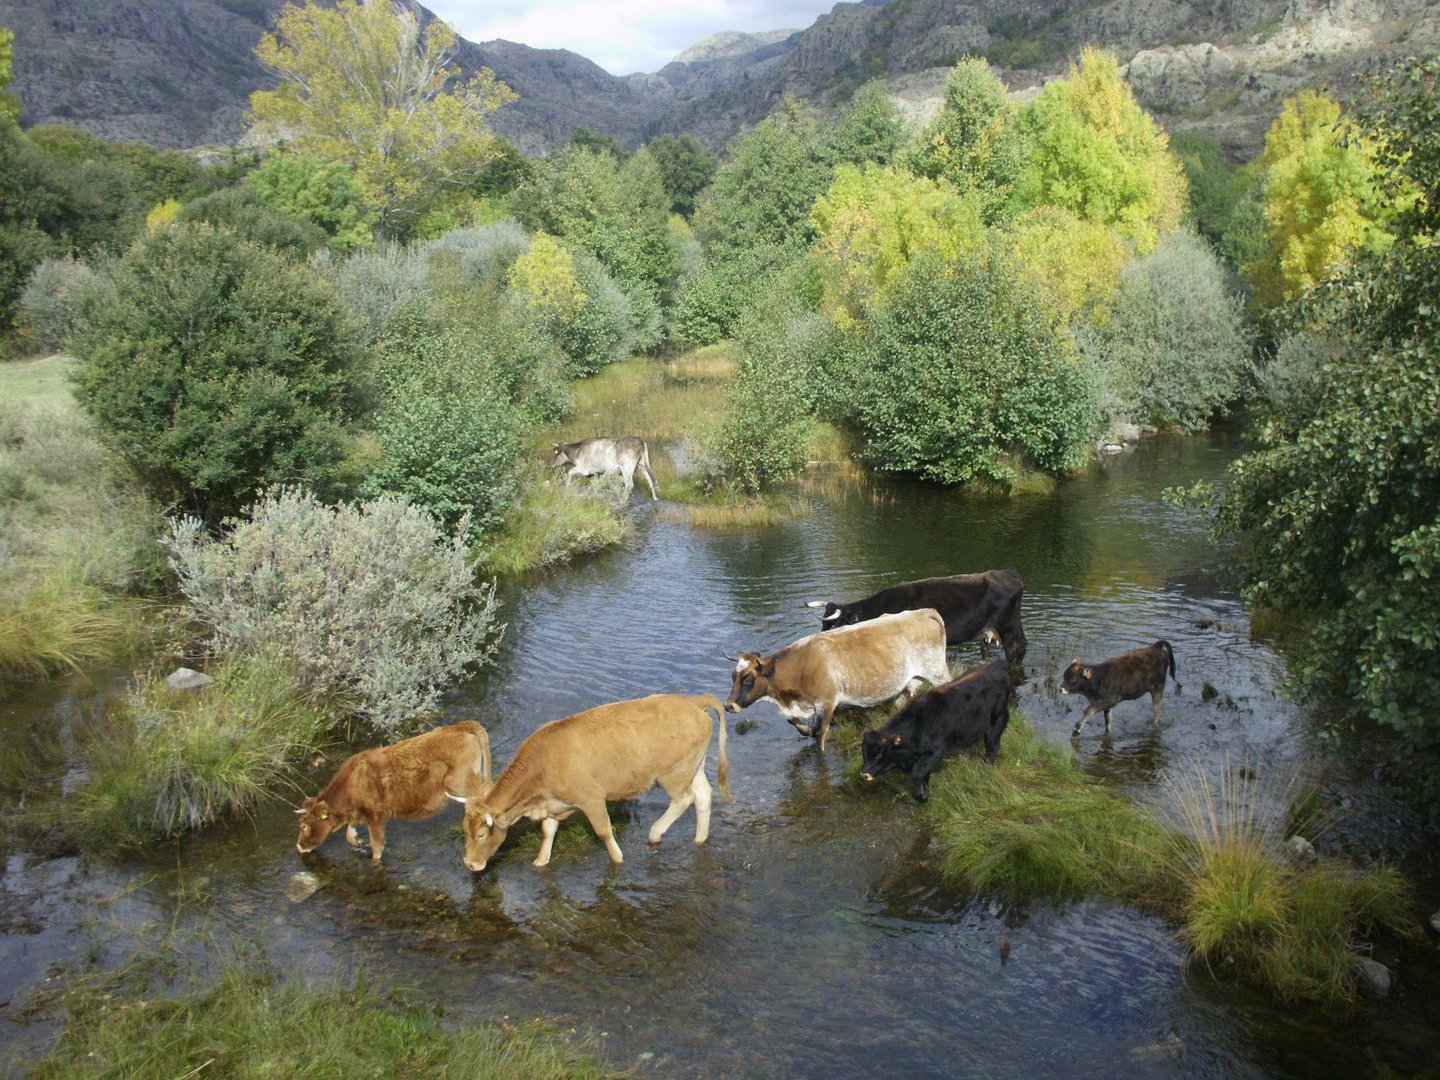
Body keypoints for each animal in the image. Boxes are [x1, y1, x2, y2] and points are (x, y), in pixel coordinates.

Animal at [295, 722, 492, 869]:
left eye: (304, 825)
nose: (299, 846)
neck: (349, 785)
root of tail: (459, 726)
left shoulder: (376, 816)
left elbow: (377, 846)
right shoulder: (359, 814)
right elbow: (349, 835)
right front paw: (358, 842)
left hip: (462, 782)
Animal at [443, 696, 725, 875]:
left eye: (481, 834)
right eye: (465, 831)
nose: (469, 864)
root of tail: (691, 701)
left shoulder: (591, 798)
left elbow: (604, 831)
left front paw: (618, 859)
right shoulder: (552, 804)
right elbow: (548, 831)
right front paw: (540, 861)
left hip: (673, 773)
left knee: (684, 800)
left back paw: (655, 835)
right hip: (693, 767)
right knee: (703, 796)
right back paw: (700, 839)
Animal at [725, 610, 950, 754]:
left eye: (748, 679)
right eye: (733, 677)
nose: (728, 706)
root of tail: (923, 612)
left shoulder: (827, 702)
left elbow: (820, 735)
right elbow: (796, 723)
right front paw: (806, 730)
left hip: (936, 670)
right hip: (909, 681)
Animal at [852, 659, 1013, 806]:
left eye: (880, 755)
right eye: (863, 753)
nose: (863, 774)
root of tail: (998, 663)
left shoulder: (936, 751)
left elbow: (917, 772)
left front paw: (921, 796)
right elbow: (923, 776)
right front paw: (924, 793)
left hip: (997, 720)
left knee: (992, 746)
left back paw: (986, 767)